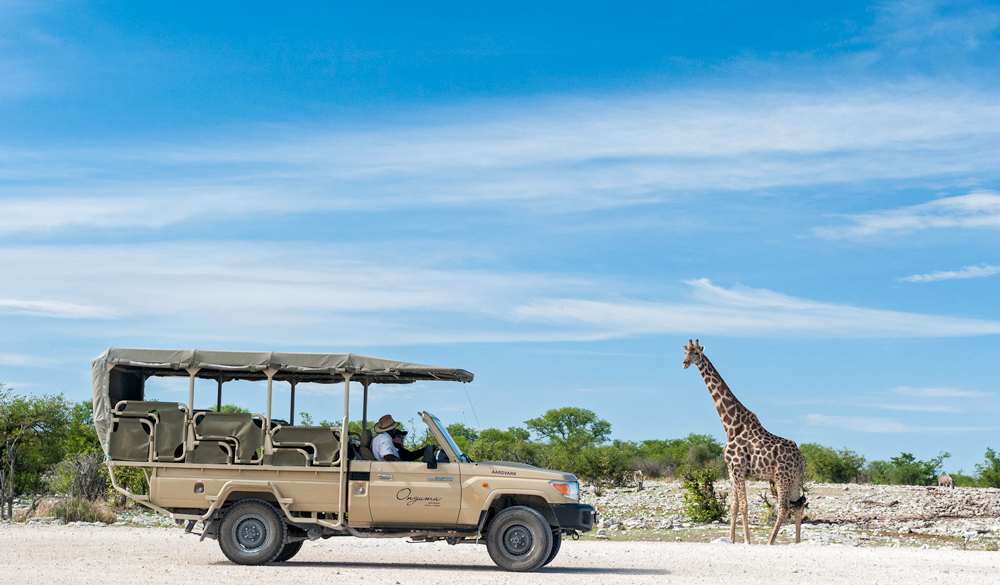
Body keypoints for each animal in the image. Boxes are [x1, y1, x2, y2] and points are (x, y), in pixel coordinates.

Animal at [682, 339, 806, 545]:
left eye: (697, 353)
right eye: (685, 352)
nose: (684, 363)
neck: (731, 426)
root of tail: (802, 459)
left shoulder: (739, 469)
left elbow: (744, 506)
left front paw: (747, 540)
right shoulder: (731, 470)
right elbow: (733, 506)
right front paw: (731, 539)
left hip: (782, 477)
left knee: (784, 508)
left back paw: (770, 542)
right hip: (794, 479)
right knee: (799, 506)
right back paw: (796, 543)